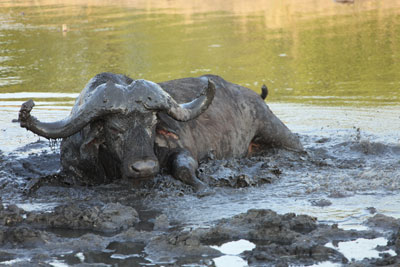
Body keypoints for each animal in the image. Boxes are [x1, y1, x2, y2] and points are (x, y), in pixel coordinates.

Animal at [18, 73, 300, 191]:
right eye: (114, 129)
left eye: (152, 124)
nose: (144, 167)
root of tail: (253, 95)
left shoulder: (182, 151)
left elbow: (183, 167)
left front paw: (200, 184)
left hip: (276, 130)